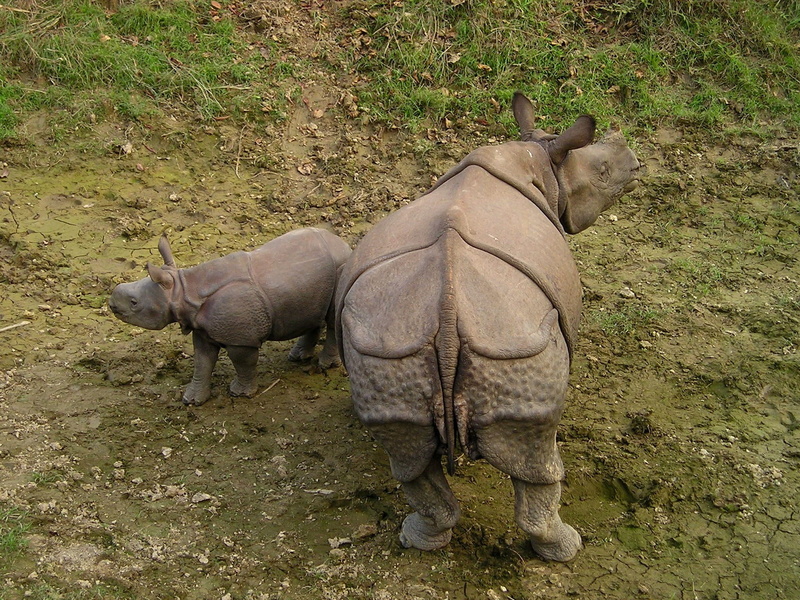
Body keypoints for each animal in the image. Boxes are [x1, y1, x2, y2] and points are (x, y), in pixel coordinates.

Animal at [109, 227, 351, 406]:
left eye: (134, 303)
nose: (111, 303)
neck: (182, 290)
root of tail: (343, 243)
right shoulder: (202, 330)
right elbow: (202, 362)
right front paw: (192, 400)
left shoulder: (241, 339)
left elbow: (242, 362)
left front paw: (240, 394)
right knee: (312, 312)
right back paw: (297, 357)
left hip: (341, 266)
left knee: (332, 318)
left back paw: (325, 366)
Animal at [335, 93, 640, 561]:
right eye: (603, 173)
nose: (637, 163)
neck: (541, 159)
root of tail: (445, 316)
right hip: (515, 345)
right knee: (538, 460)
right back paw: (566, 549)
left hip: (389, 349)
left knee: (409, 458)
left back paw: (418, 538)